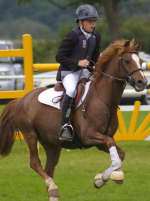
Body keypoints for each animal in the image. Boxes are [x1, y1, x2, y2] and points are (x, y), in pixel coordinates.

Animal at [0, 39, 148, 201]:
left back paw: (53, 192)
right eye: (127, 61)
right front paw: (104, 178)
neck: (102, 99)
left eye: (140, 61)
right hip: (30, 135)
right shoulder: (90, 136)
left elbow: (119, 155)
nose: (142, 82)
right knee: (34, 162)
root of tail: (21, 100)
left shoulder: (101, 141)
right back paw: (52, 186)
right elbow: (114, 154)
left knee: (49, 168)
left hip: (52, 144)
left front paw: (103, 179)